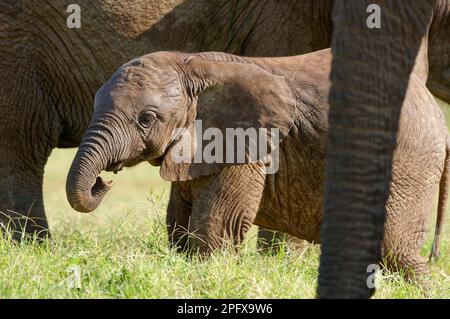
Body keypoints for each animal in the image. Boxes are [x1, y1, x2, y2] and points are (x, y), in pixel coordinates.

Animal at [66, 48, 446, 282]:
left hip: (409, 161)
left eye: (146, 119)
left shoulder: (243, 147)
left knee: (394, 248)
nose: (103, 181)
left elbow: (217, 224)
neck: (192, 65)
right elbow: (178, 223)